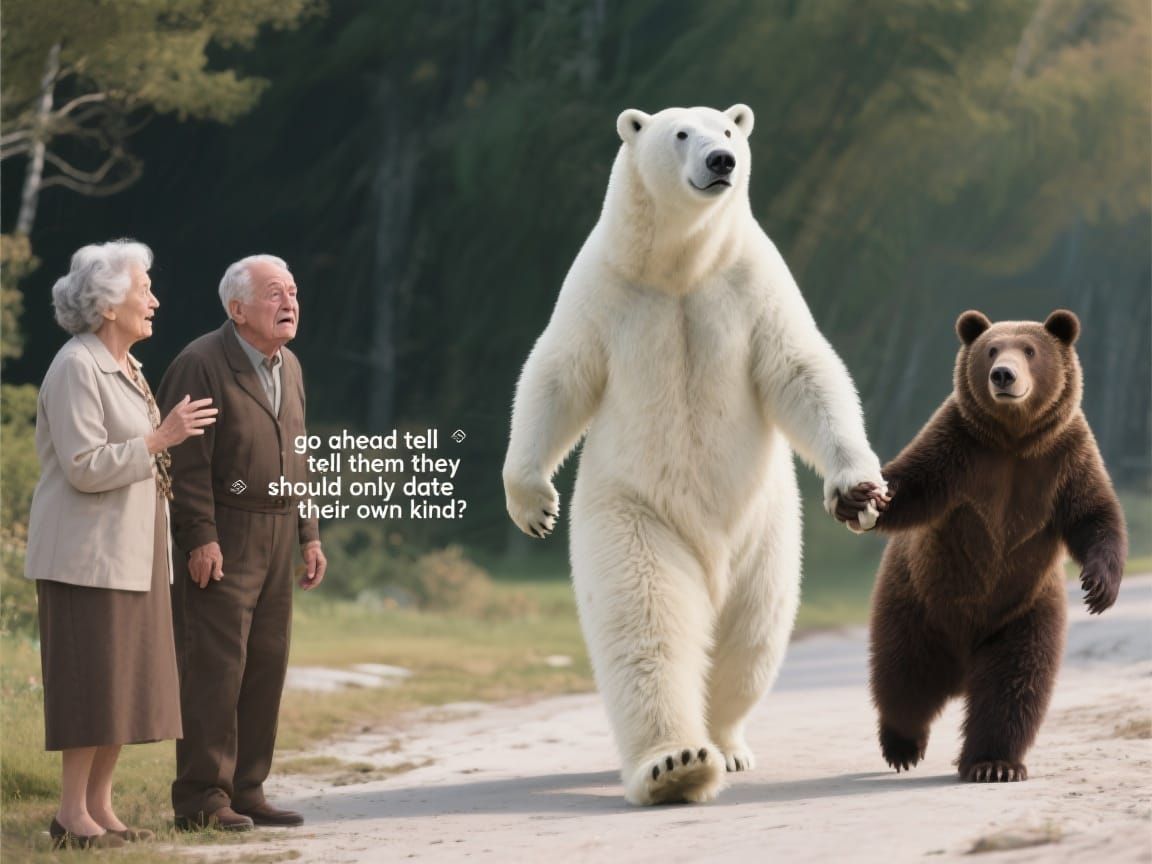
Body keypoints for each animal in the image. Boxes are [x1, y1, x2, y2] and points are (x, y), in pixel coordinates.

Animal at [502, 104, 886, 805]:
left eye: (728, 130)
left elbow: (802, 367)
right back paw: (675, 762)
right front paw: (533, 504)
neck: (680, 266)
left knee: (751, 636)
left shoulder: (753, 284)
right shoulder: (603, 290)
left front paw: (857, 491)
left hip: (766, 538)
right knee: (645, 614)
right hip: (636, 514)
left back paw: (725, 745)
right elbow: (557, 373)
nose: (720, 161)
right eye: (680, 133)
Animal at [866, 309, 1127, 783]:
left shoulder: (1063, 459)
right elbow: (910, 484)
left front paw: (1099, 587)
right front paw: (858, 499)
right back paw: (903, 744)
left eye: (1029, 349)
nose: (1003, 374)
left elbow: (1094, 515)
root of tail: (960, 668)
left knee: (1015, 682)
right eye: (991, 349)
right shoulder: (958, 449)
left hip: (1020, 612)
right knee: (905, 676)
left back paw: (994, 762)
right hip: (919, 600)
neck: (1013, 438)